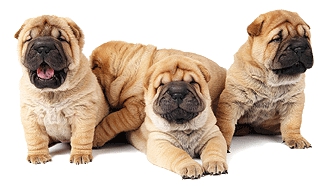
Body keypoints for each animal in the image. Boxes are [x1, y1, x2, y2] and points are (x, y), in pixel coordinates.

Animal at [215, 9, 314, 150]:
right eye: (277, 39)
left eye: (306, 36)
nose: (299, 47)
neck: (273, 80)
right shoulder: (233, 100)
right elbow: (226, 125)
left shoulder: (294, 100)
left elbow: (292, 122)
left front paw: (296, 139)